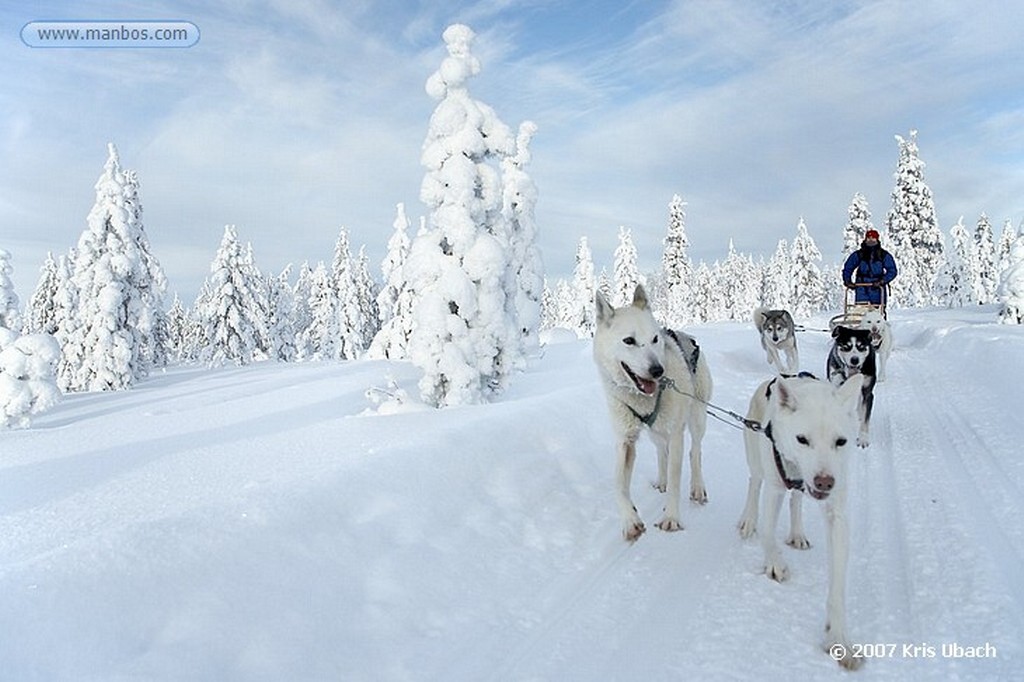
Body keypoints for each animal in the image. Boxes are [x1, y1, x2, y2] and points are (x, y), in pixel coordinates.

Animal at [593, 284, 712, 540]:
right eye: (629, 340)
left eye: (655, 339)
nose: (658, 370)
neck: (641, 400)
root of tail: (689, 338)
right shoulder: (625, 441)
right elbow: (618, 485)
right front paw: (630, 520)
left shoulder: (676, 434)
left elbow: (677, 479)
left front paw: (671, 517)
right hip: (655, 433)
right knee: (661, 452)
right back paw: (662, 480)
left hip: (696, 418)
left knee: (695, 452)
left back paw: (697, 487)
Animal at [737, 368, 864, 667]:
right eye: (802, 439)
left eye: (841, 441)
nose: (825, 481)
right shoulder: (774, 489)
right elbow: (768, 533)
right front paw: (775, 565)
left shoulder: (837, 514)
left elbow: (838, 586)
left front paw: (838, 636)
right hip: (756, 461)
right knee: (754, 484)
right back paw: (748, 520)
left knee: (796, 501)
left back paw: (797, 533)